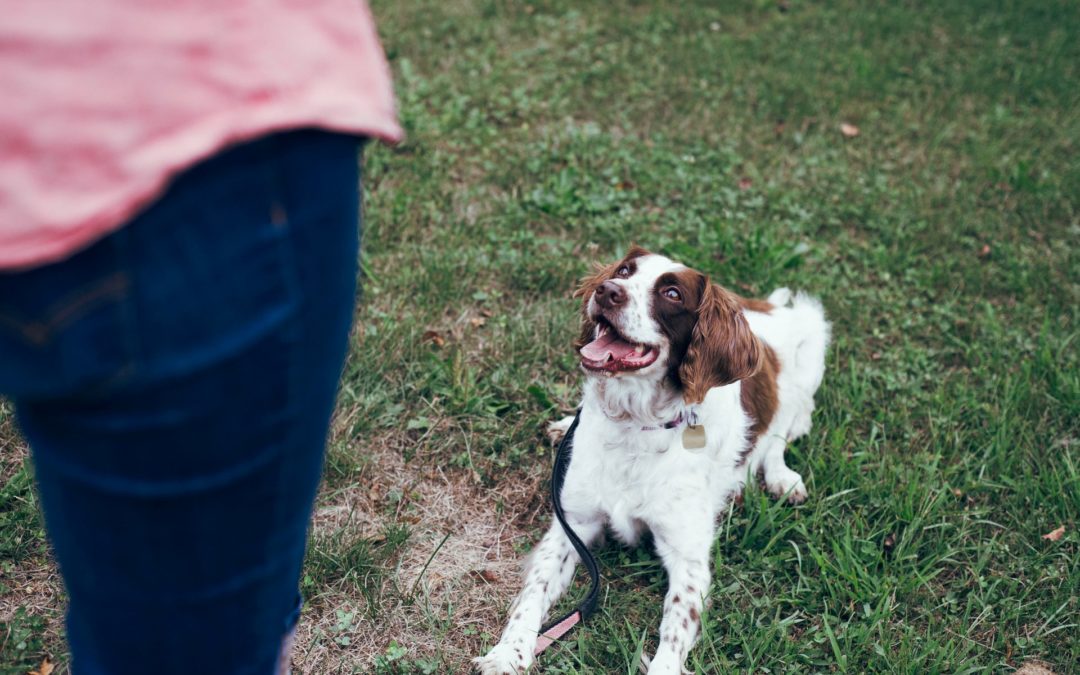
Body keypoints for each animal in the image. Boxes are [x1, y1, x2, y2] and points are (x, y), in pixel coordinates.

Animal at [477, 247, 829, 673]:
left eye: (672, 294)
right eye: (624, 271)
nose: (607, 290)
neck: (634, 424)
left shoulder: (688, 557)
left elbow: (675, 626)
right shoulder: (573, 524)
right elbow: (533, 594)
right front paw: (507, 653)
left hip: (811, 343)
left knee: (781, 431)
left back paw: (782, 478)